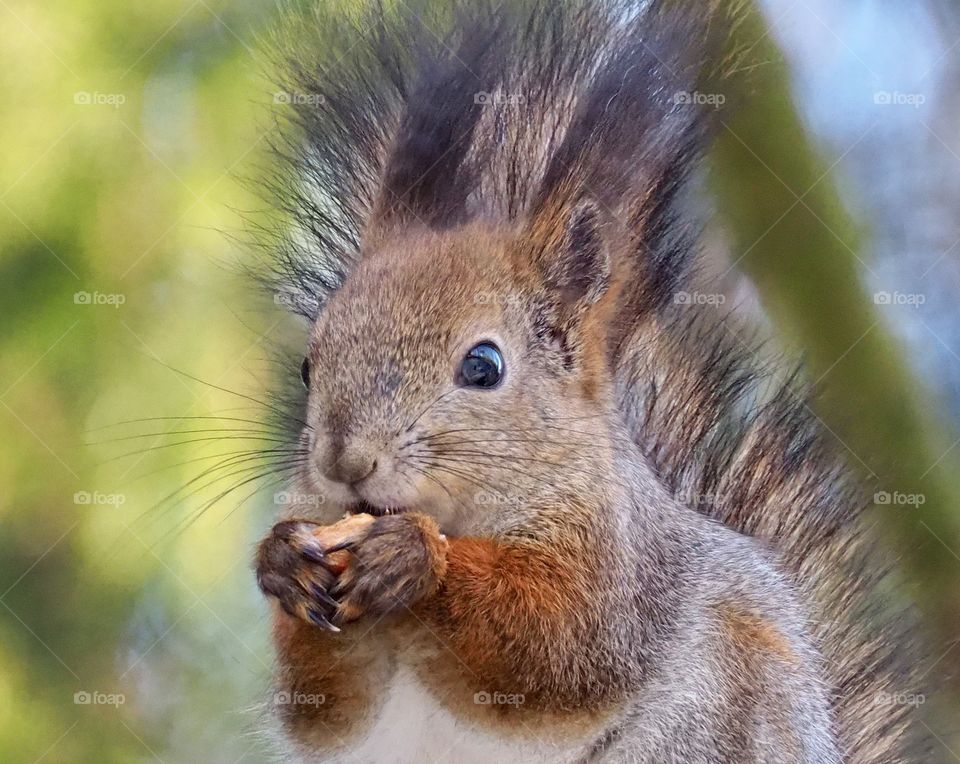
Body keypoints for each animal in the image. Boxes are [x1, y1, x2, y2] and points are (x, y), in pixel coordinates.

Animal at [252, 0, 926, 761]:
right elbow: (329, 712)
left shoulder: (620, 566)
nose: (344, 461)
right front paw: (283, 560)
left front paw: (416, 557)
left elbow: (557, 649)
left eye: (483, 367)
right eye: (308, 364)